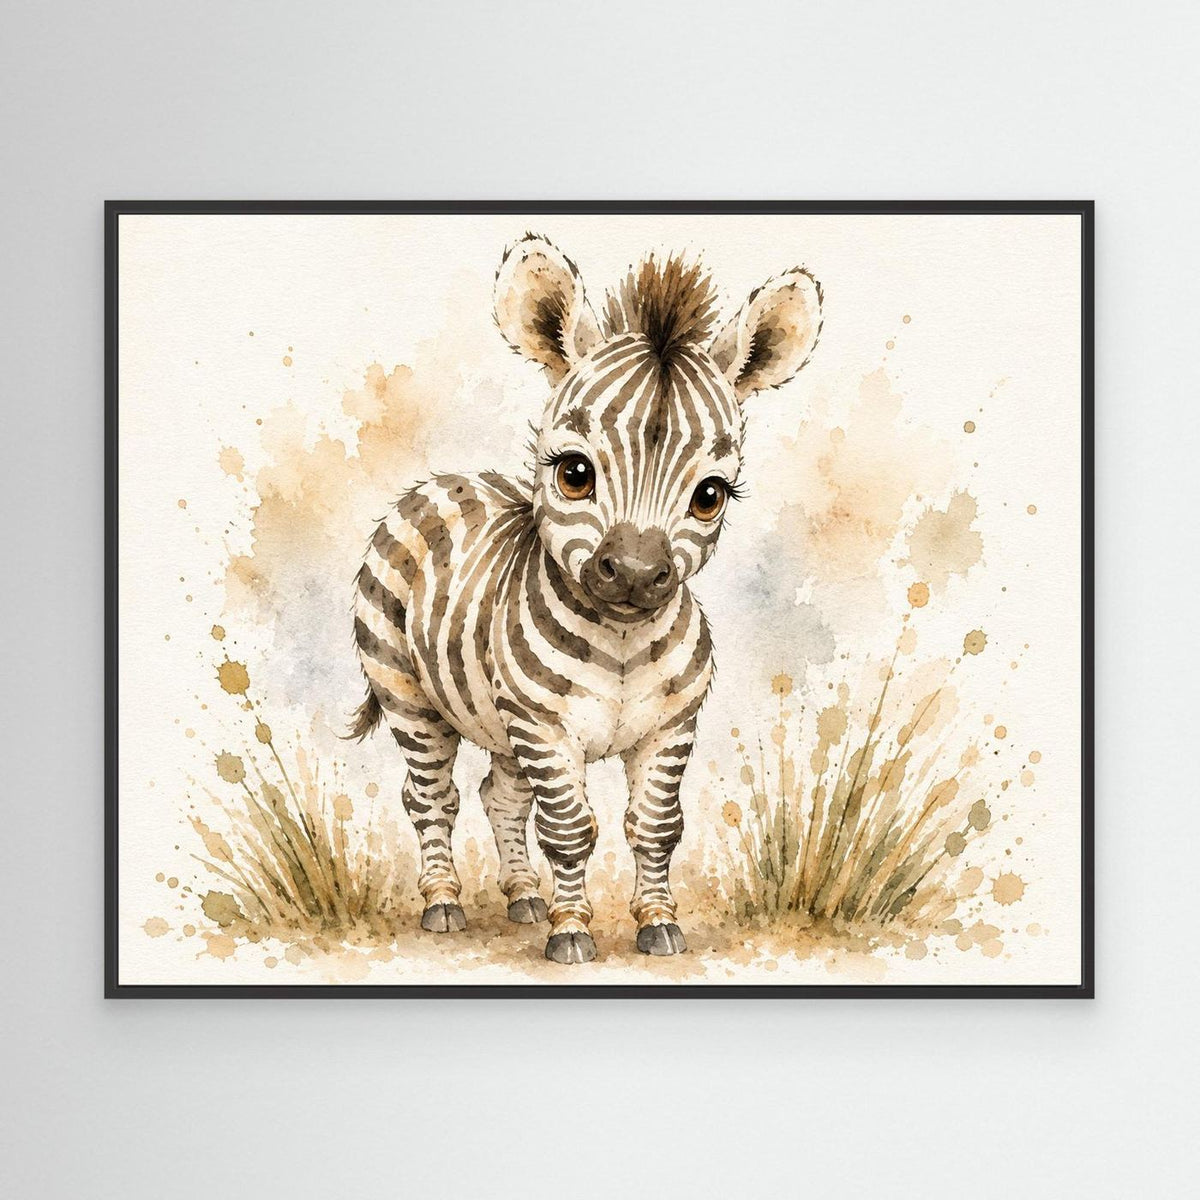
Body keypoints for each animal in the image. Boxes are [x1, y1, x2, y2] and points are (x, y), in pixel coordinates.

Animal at [351, 233, 822, 963]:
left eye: (711, 494)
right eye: (574, 472)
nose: (633, 574)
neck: (621, 643)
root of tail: (442, 480)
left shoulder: (670, 726)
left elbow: (656, 825)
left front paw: (657, 922)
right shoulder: (545, 727)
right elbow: (570, 829)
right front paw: (572, 931)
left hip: (501, 721)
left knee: (500, 797)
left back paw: (522, 898)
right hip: (407, 690)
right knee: (431, 797)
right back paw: (444, 903)